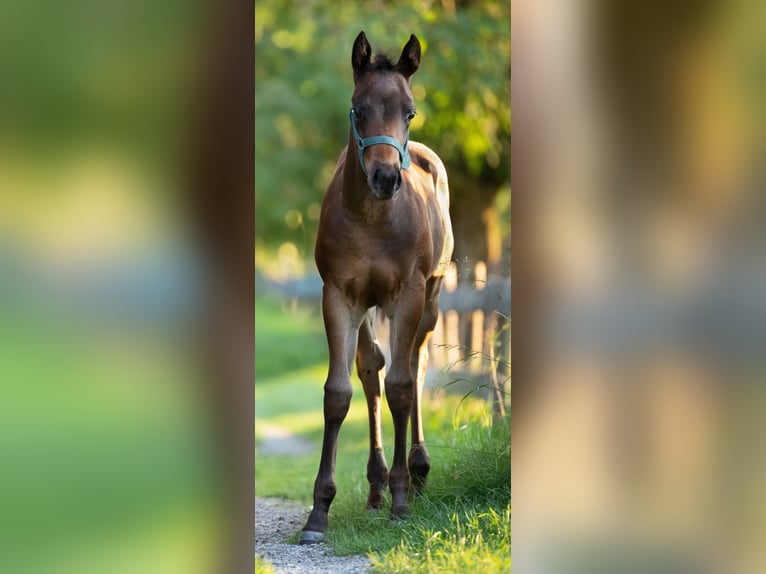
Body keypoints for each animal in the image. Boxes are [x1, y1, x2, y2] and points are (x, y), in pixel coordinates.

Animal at [302, 32, 456, 548]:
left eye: (409, 111)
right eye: (358, 108)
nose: (386, 178)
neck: (373, 219)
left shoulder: (407, 296)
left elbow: (403, 388)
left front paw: (402, 501)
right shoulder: (339, 298)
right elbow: (339, 393)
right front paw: (319, 512)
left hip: (431, 299)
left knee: (417, 366)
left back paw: (417, 471)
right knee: (371, 371)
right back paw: (375, 486)